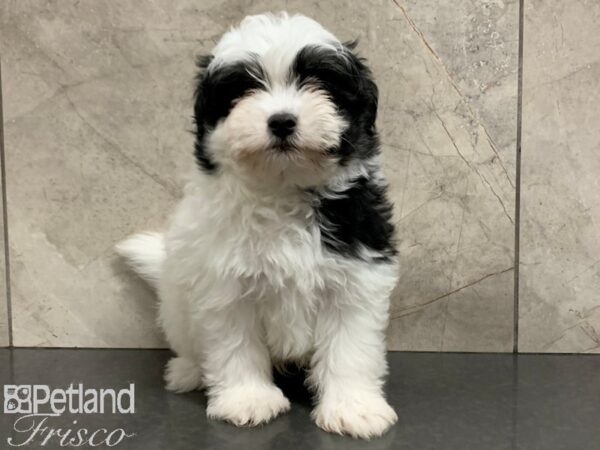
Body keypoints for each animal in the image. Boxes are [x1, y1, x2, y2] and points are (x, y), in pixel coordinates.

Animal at [117, 11, 398, 440]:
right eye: (244, 89)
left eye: (318, 82)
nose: (281, 121)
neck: (283, 189)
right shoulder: (226, 286)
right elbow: (236, 346)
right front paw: (247, 399)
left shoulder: (355, 279)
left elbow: (349, 349)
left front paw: (353, 408)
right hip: (178, 305)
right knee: (188, 343)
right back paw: (187, 371)